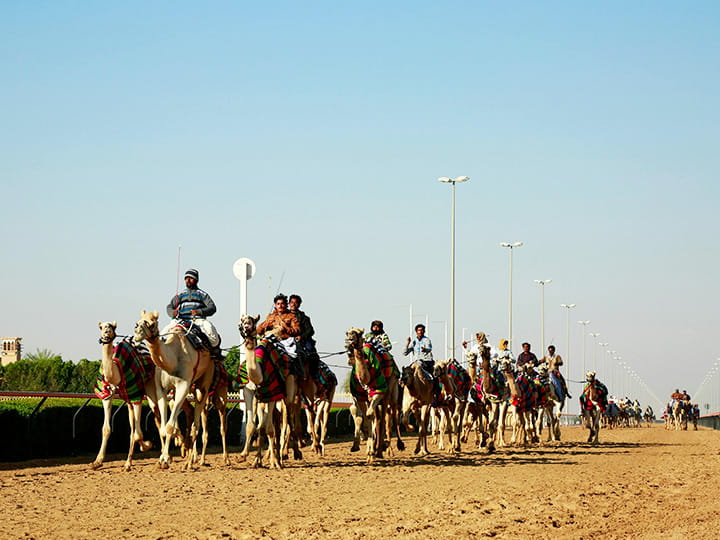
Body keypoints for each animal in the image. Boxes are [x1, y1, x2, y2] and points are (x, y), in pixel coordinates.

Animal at [90, 322, 158, 470]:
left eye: (112, 326)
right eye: (101, 326)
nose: (106, 332)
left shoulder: (136, 396)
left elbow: (138, 433)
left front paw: (147, 445)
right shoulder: (106, 395)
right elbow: (106, 429)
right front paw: (97, 462)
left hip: (150, 390)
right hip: (128, 402)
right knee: (133, 428)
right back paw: (128, 462)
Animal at [133, 310, 214, 470]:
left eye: (152, 323)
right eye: (138, 321)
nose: (137, 333)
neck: (173, 360)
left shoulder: (183, 385)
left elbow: (169, 426)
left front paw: (165, 459)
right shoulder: (161, 388)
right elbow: (164, 427)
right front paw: (163, 458)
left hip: (204, 382)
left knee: (197, 423)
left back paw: (191, 461)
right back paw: (187, 454)